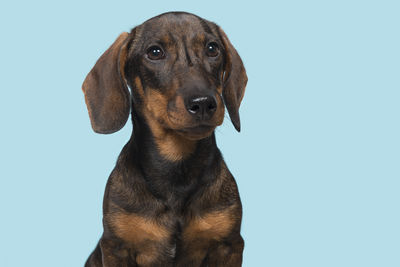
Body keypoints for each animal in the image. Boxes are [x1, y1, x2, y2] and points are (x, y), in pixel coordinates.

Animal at [82, 11, 247, 266]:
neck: (176, 163)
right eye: (155, 52)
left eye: (212, 48)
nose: (203, 103)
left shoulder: (229, 246)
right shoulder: (115, 247)